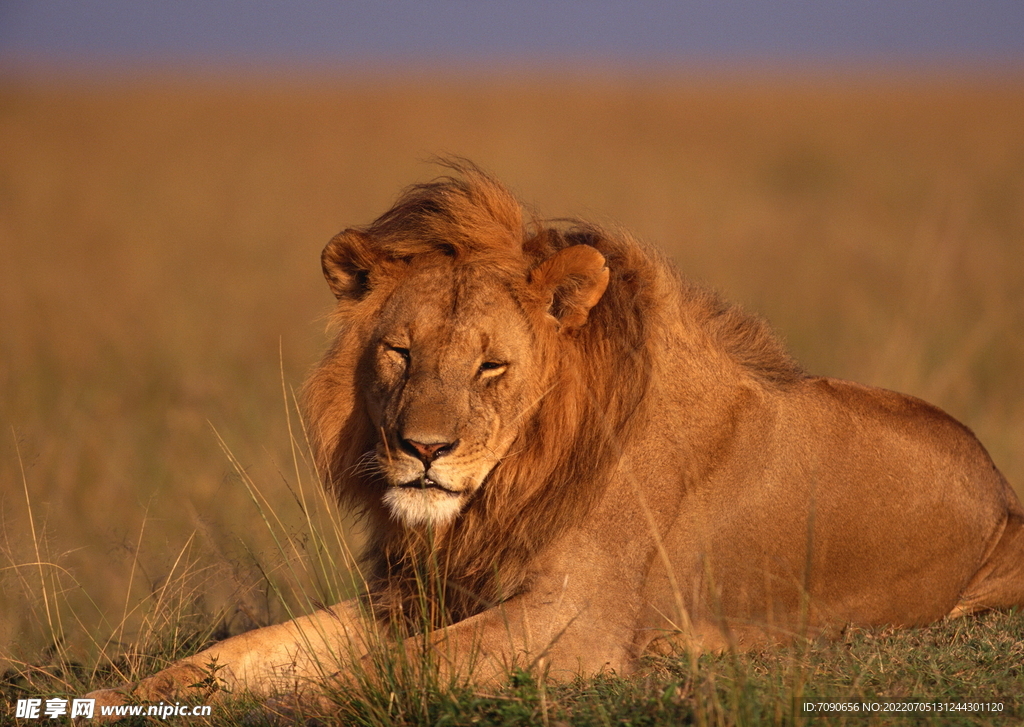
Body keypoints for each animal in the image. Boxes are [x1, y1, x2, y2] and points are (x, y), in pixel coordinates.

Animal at [88, 162, 1024, 716]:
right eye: (400, 352)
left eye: (492, 366)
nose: (424, 450)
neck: (511, 483)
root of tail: (1003, 497)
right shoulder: (416, 594)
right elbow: (241, 652)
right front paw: (128, 692)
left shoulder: (575, 625)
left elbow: (386, 672)